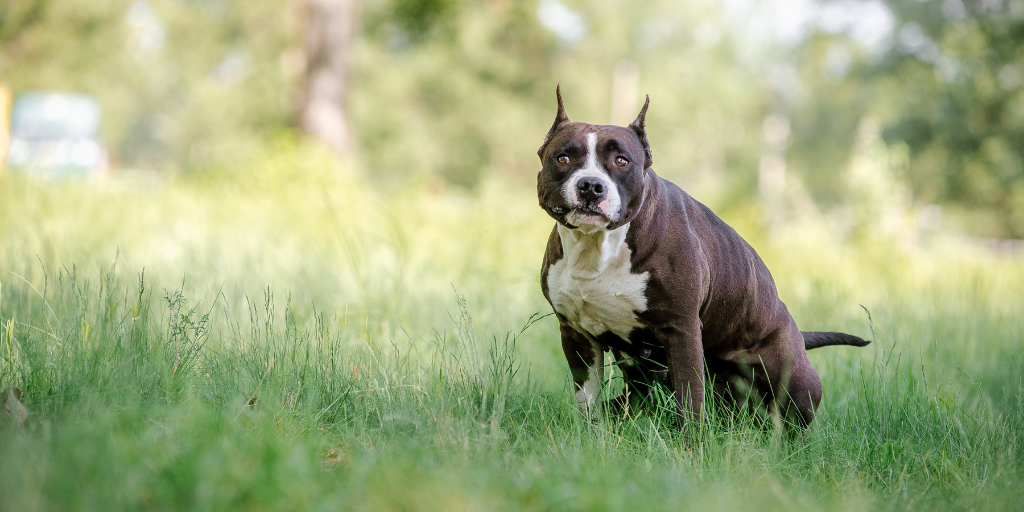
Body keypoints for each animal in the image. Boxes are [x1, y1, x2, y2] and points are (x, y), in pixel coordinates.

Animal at [536, 86, 864, 430]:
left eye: (622, 161)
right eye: (563, 158)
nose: (590, 185)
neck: (599, 247)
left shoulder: (682, 330)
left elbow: (690, 402)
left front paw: (690, 442)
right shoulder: (576, 335)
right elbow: (587, 400)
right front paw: (588, 433)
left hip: (794, 377)